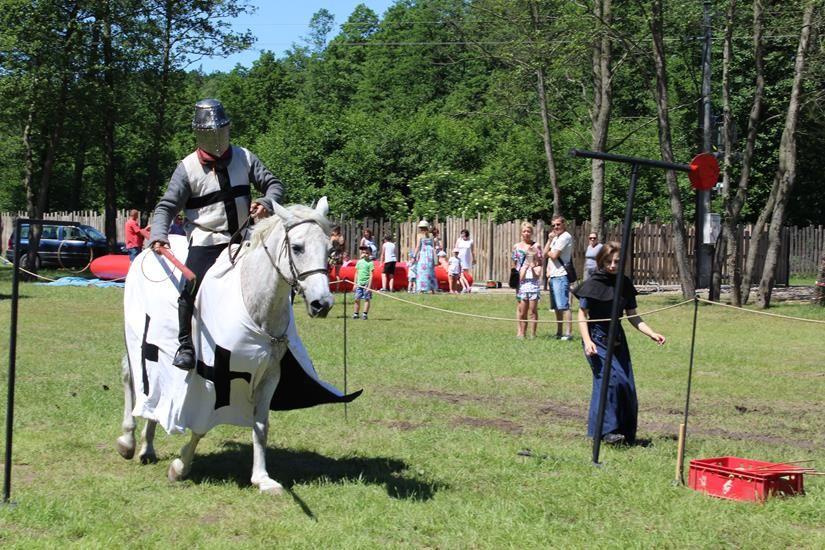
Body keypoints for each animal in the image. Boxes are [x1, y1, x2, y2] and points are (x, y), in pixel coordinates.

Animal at [116, 198, 358, 496]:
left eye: (329, 249)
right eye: (298, 247)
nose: (321, 303)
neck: (254, 302)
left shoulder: (269, 376)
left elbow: (261, 425)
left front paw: (262, 478)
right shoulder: (215, 378)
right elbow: (201, 425)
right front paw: (180, 467)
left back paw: (147, 447)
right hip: (136, 342)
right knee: (130, 378)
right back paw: (127, 441)